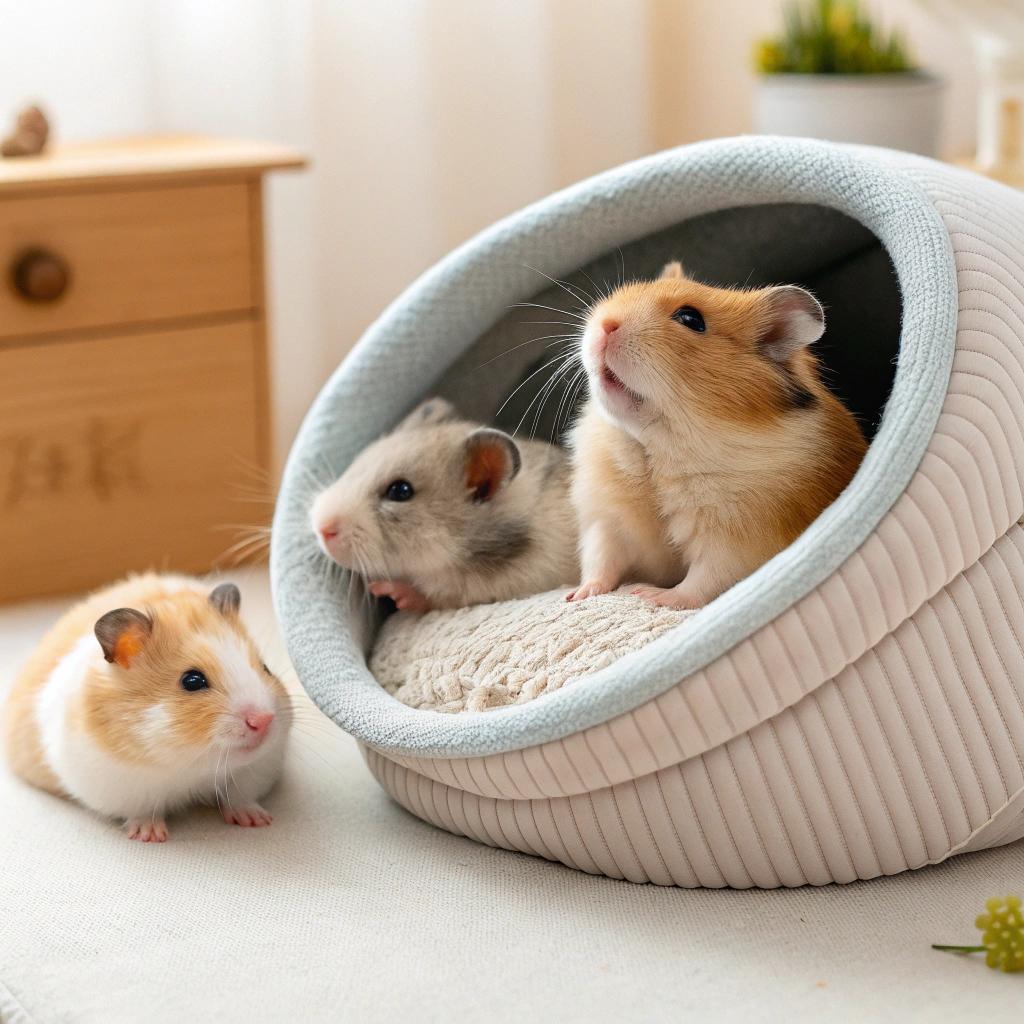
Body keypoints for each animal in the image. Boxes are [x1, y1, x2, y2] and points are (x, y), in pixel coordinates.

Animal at [3, 574, 290, 842]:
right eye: (192, 681)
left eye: (265, 668)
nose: (264, 720)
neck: (191, 765)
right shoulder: (120, 785)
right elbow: (143, 811)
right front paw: (151, 836)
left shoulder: (257, 767)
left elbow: (240, 797)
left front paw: (258, 821)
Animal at [567, 260, 867, 609]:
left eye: (690, 319)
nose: (605, 324)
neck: (653, 447)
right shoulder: (606, 523)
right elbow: (601, 562)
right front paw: (576, 596)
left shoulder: (735, 543)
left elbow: (702, 580)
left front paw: (651, 595)